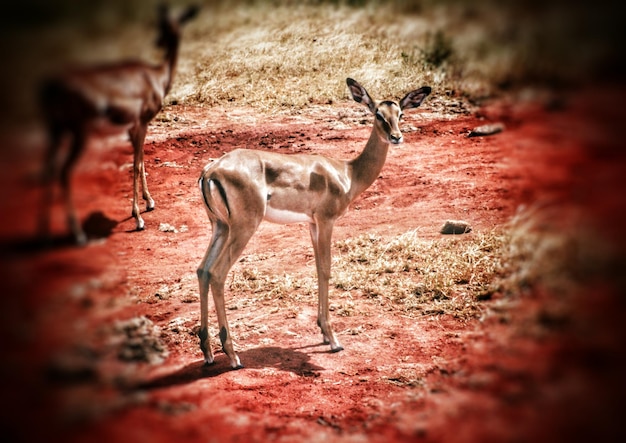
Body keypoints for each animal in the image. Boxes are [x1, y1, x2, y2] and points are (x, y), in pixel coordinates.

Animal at [38, 4, 197, 246]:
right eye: (161, 23)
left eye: (169, 23)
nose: (158, 41)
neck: (157, 76)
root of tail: (51, 86)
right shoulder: (142, 123)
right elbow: (136, 164)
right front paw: (138, 218)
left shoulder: (132, 127)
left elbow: (141, 159)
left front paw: (149, 202)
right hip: (78, 133)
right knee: (63, 172)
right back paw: (78, 234)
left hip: (55, 131)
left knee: (49, 169)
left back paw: (44, 231)